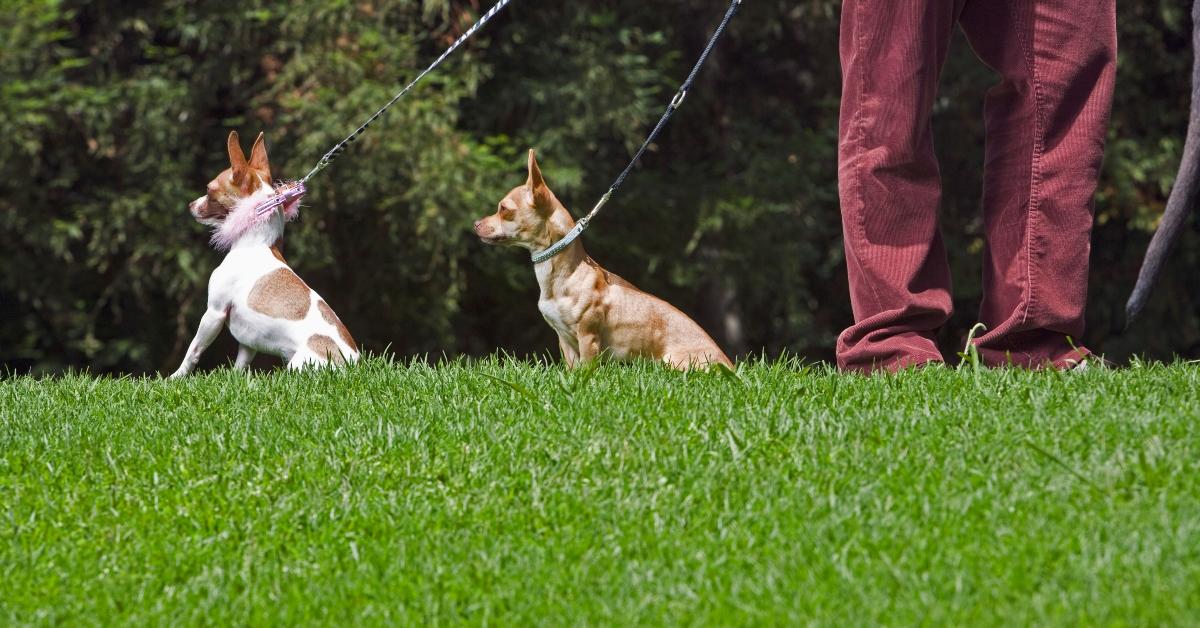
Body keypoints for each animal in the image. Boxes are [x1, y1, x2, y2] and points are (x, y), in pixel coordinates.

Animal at [169, 131, 357, 379]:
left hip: (298, 366)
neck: (256, 243)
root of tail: (353, 367)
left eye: (209, 190)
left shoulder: (214, 313)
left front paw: (175, 377)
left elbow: (193, 350)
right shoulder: (248, 341)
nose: (191, 205)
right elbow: (240, 364)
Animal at [470, 150, 729, 372]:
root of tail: (730, 367)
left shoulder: (587, 337)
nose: (475, 223)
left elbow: (587, 370)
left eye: (504, 209)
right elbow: (572, 369)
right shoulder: (565, 341)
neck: (561, 276)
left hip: (672, 363)